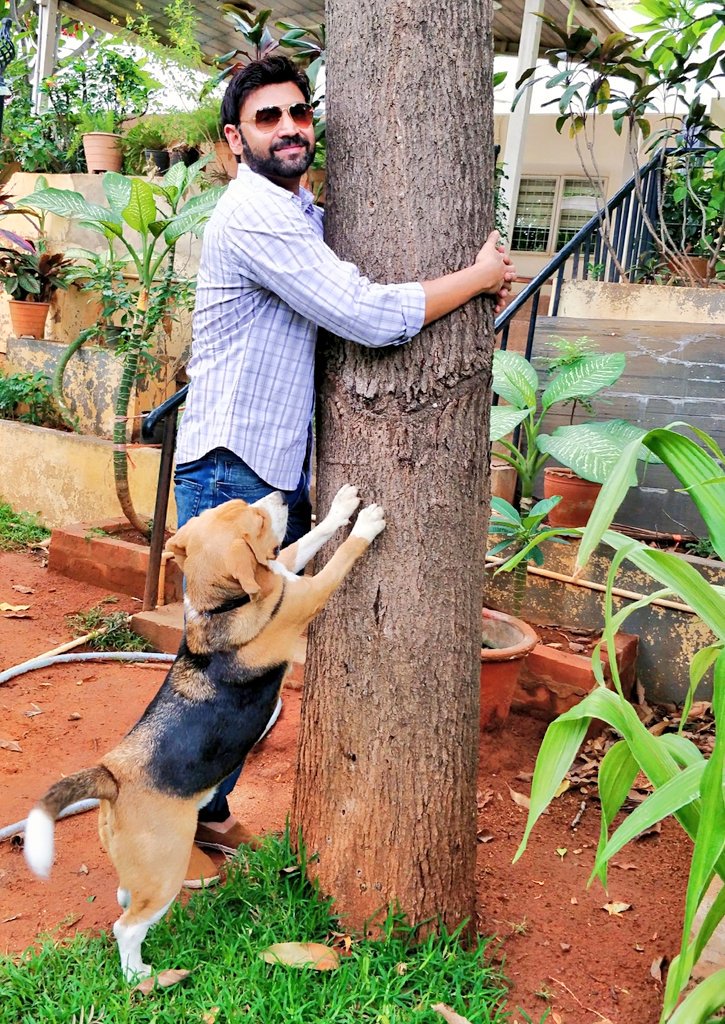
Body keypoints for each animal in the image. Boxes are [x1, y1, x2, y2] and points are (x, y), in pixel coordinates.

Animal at [24, 484, 385, 981]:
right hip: (166, 869)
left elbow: (311, 540)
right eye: (255, 520)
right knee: (126, 927)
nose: (281, 494)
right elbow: (340, 557)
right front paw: (366, 523)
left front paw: (342, 507)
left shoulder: (284, 571)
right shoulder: (305, 594)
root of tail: (111, 775)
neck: (221, 605)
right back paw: (141, 976)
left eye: (241, 505)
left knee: (125, 894)